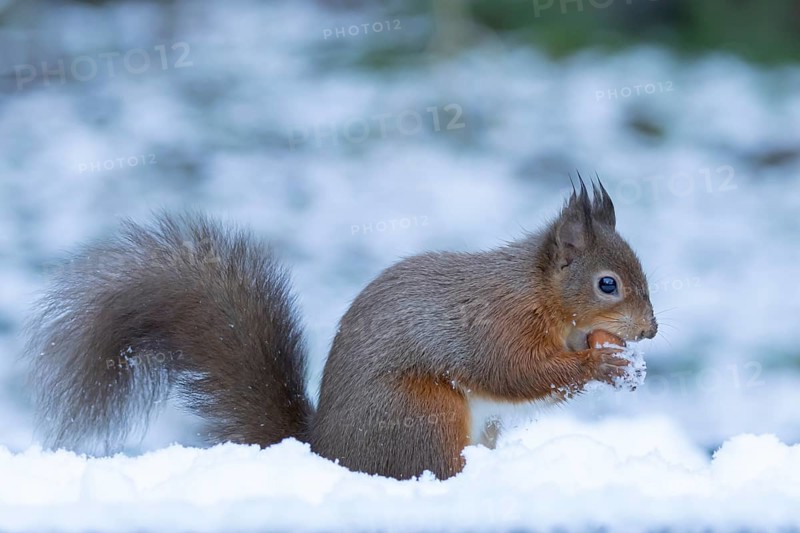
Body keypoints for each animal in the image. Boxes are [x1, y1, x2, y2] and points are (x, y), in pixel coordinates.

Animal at [26, 179, 657, 480]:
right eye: (608, 284)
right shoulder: (491, 326)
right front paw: (603, 365)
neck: (539, 297)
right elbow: (516, 373)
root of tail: (325, 451)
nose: (650, 331)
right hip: (422, 415)